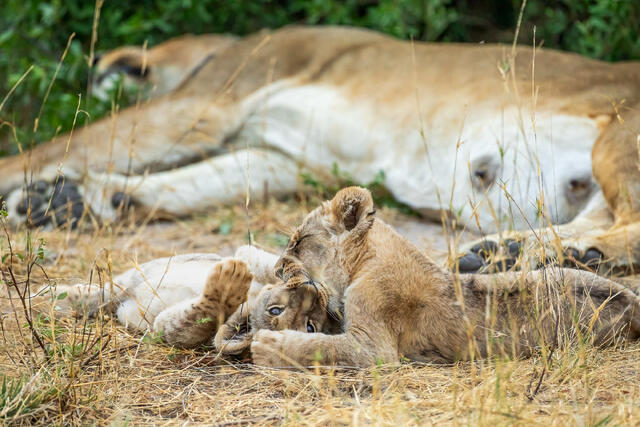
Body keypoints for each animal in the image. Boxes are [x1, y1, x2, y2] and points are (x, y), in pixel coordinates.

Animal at [2, 26, 640, 271]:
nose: (100, 68)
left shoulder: (205, 105)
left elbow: (42, 151)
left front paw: (42, 195)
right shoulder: (281, 158)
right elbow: (193, 183)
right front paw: (73, 203)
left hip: (617, 135)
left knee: (626, 222)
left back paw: (559, 257)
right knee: (598, 217)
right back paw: (506, 254)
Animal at [249, 187, 640, 367]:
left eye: (298, 242)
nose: (277, 268)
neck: (367, 260)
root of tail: (633, 303)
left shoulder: (374, 348)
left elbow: (319, 346)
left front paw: (267, 345)